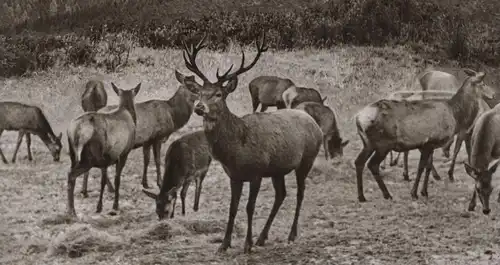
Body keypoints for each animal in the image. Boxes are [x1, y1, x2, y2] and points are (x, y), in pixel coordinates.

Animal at [65, 82, 142, 217]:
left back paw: (71, 209)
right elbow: (116, 179)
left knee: (70, 173)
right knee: (72, 174)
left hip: (75, 155)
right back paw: (73, 210)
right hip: (90, 157)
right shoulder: (123, 153)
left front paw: (100, 206)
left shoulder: (106, 159)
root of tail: (76, 131)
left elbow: (103, 180)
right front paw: (114, 205)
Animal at [178, 32, 322, 252]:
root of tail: (315, 124)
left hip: (307, 159)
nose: (199, 107)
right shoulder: (235, 176)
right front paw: (224, 244)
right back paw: (263, 237)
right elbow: (233, 208)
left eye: (218, 94)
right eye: (199, 93)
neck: (236, 149)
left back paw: (291, 235)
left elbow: (249, 207)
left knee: (300, 193)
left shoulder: (257, 172)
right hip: (277, 169)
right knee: (281, 195)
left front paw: (247, 244)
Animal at [356, 69, 496, 201]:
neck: (456, 115)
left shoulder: (431, 144)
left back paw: (362, 196)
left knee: (359, 162)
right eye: (483, 84)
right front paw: (414, 193)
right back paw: (387, 194)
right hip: (383, 143)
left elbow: (428, 167)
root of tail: (358, 118)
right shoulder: (429, 142)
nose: (494, 94)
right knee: (372, 165)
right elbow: (421, 167)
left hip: (368, 143)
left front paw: (424, 192)